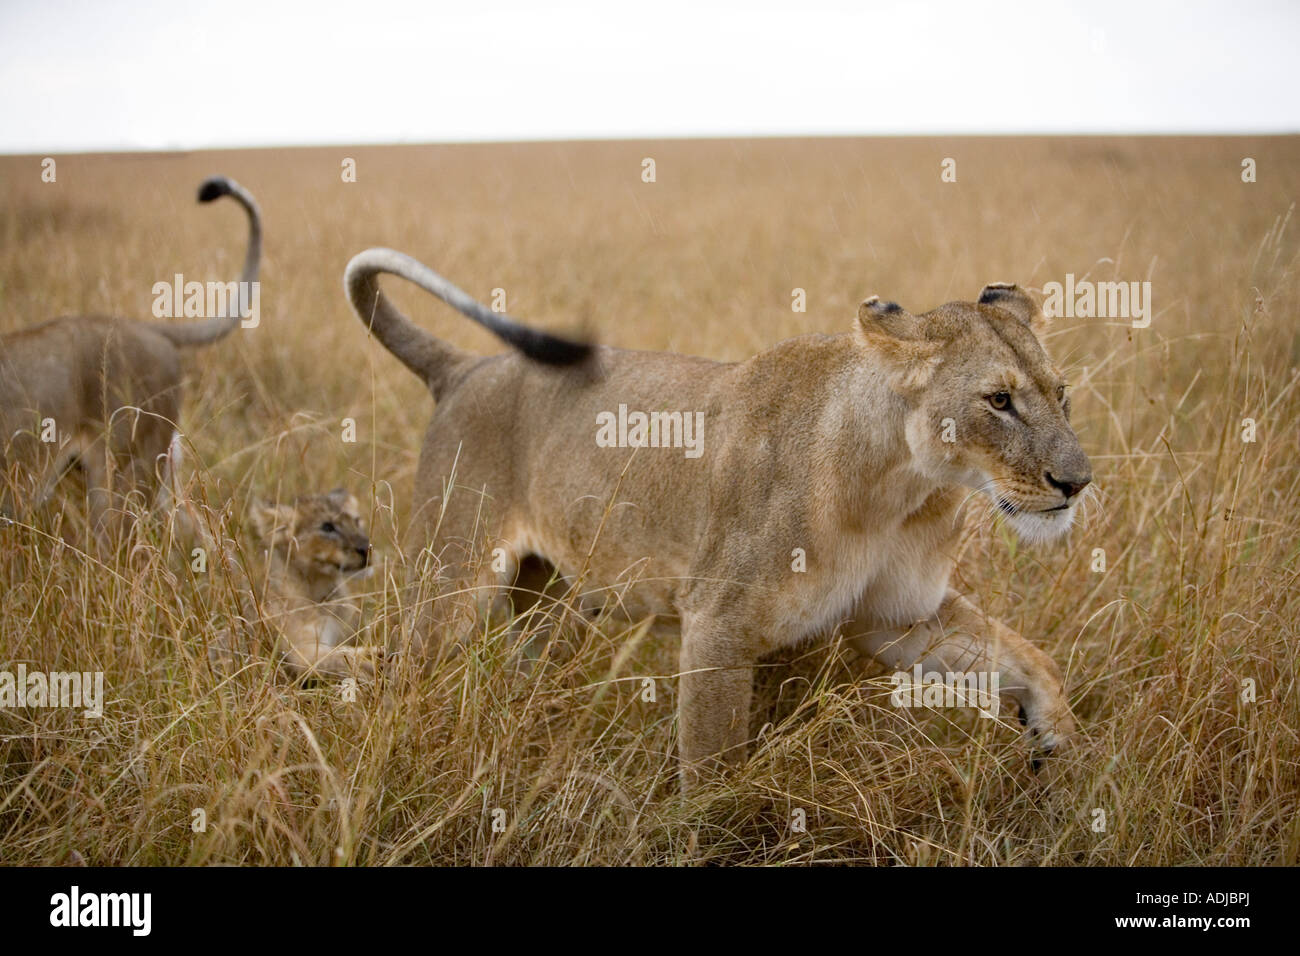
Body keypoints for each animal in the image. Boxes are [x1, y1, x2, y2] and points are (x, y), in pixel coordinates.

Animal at [344, 248, 1091, 787]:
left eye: (1062, 395)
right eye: (998, 400)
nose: (1077, 482)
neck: (901, 486)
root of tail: (465, 367)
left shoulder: (897, 615)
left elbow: (1027, 656)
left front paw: (1055, 737)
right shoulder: (717, 625)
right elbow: (712, 775)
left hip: (547, 599)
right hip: (451, 584)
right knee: (396, 672)